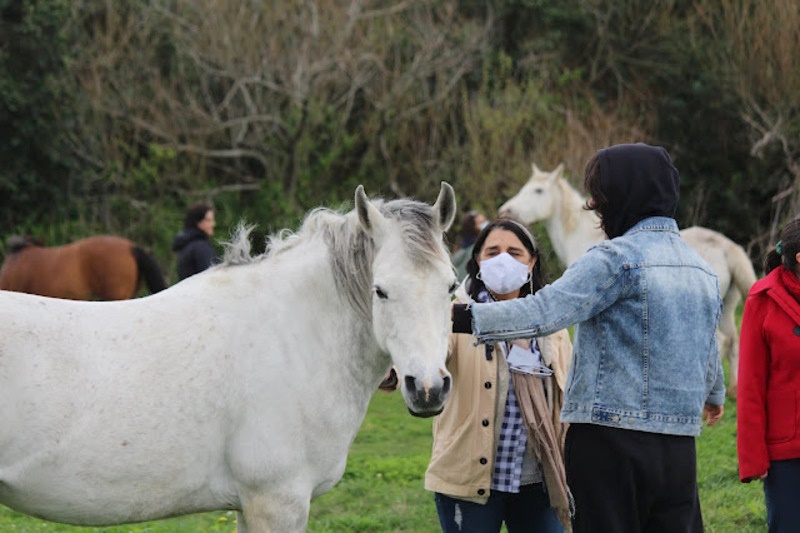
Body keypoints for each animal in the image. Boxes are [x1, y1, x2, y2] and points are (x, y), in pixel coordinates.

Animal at [499, 163, 757, 398]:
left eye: (539, 191)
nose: (506, 211)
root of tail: (726, 246)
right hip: (728, 305)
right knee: (733, 341)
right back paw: (733, 391)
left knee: (722, 342)